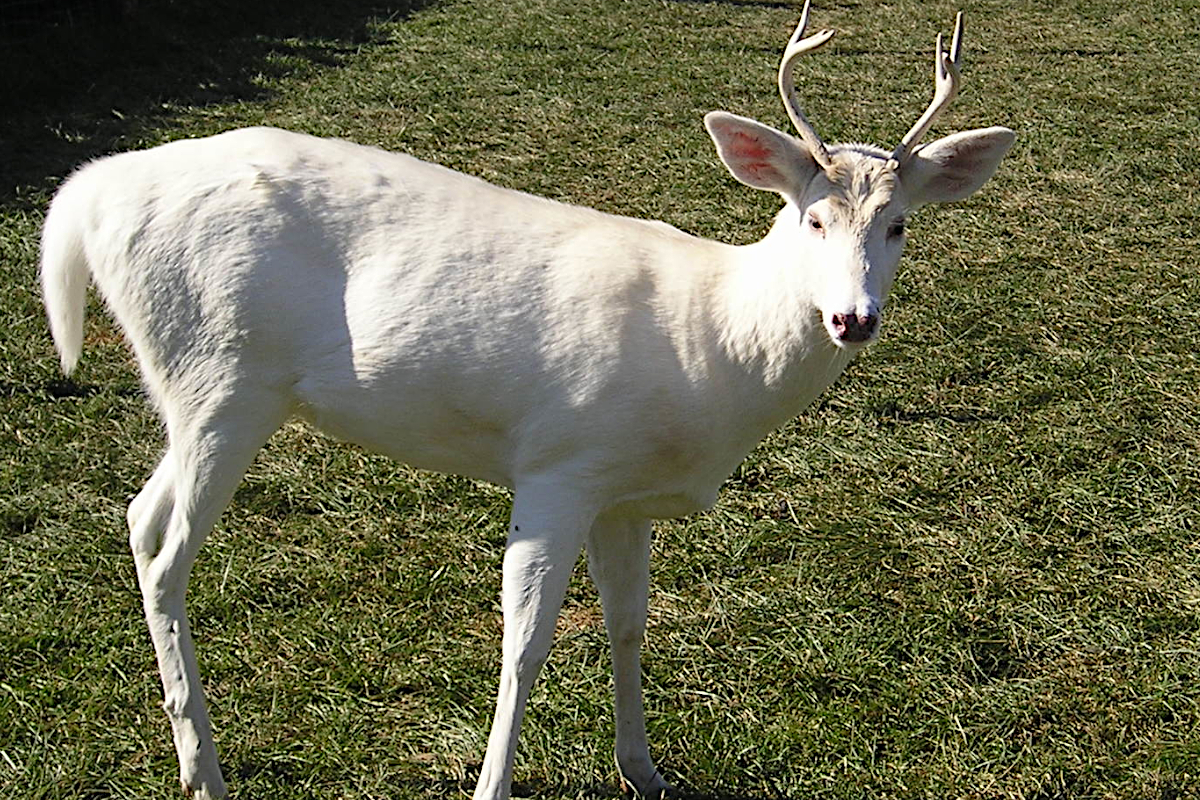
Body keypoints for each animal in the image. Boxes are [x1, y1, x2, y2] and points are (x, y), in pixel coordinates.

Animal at [39, 2, 1013, 798]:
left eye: (899, 224)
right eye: (811, 218)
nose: (853, 318)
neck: (709, 346)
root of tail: (87, 196)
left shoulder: (625, 493)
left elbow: (628, 624)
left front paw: (645, 771)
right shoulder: (559, 460)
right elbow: (527, 640)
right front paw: (492, 786)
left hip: (201, 385)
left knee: (139, 516)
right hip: (221, 374)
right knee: (168, 554)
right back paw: (204, 775)